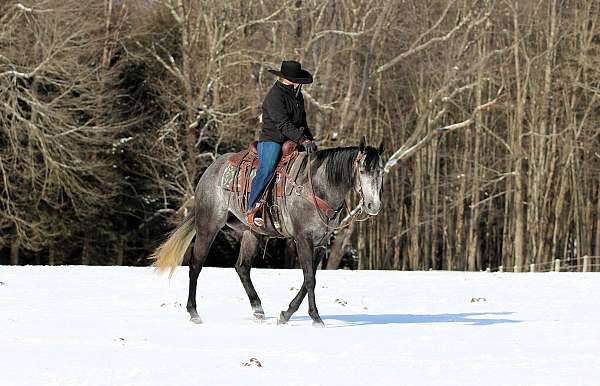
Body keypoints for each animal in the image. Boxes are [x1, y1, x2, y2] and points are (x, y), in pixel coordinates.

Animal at [151, 137, 384, 328]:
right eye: (362, 170)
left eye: (380, 171)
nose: (373, 205)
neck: (317, 186)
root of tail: (210, 171)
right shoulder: (303, 239)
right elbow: (309, 278)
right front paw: (316, 318)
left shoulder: (321, 243)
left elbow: (309, 278)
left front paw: (286, 314)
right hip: (208, 226)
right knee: (196, 265)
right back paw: (194, 313)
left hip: (250, 233)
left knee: (242, 267)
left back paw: (258, 310)